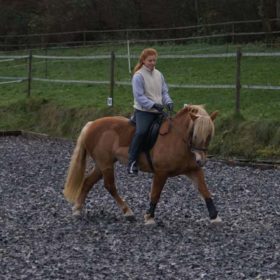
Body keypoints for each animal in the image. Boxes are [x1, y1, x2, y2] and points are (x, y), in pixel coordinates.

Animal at [63, 105, 221, 225]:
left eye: (209, 136)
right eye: (195, 135)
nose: (201, 160)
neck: (178, 140)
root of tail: (91, 124)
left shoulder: (193, 170)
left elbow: (205, 190)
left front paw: (215, 216)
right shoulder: (161, 172)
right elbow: (156, 194)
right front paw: (149, 217)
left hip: (102, 164)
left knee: (88, 181)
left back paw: (77, 209)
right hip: (105, 163)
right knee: (109, 186)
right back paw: (128, 212)